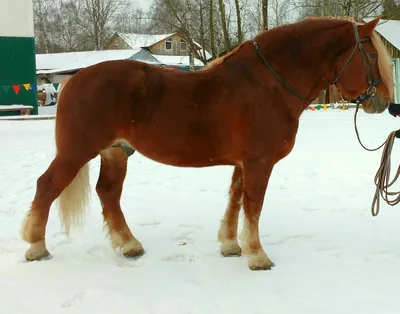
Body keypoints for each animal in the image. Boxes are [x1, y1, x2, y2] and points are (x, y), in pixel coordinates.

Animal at [20, 15, 392, 270]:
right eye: (372, 56)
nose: (385, 102)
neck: (269, 84)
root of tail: (75, 81)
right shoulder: (259, 162)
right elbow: (253, 205)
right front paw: (257, 256)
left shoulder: (244, 163)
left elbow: (236, 200)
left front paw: (230, 245)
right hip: (76, 152)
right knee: (46, 185)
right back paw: (37, 247)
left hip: (115, 153)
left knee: (107, 193)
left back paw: (129, 245)